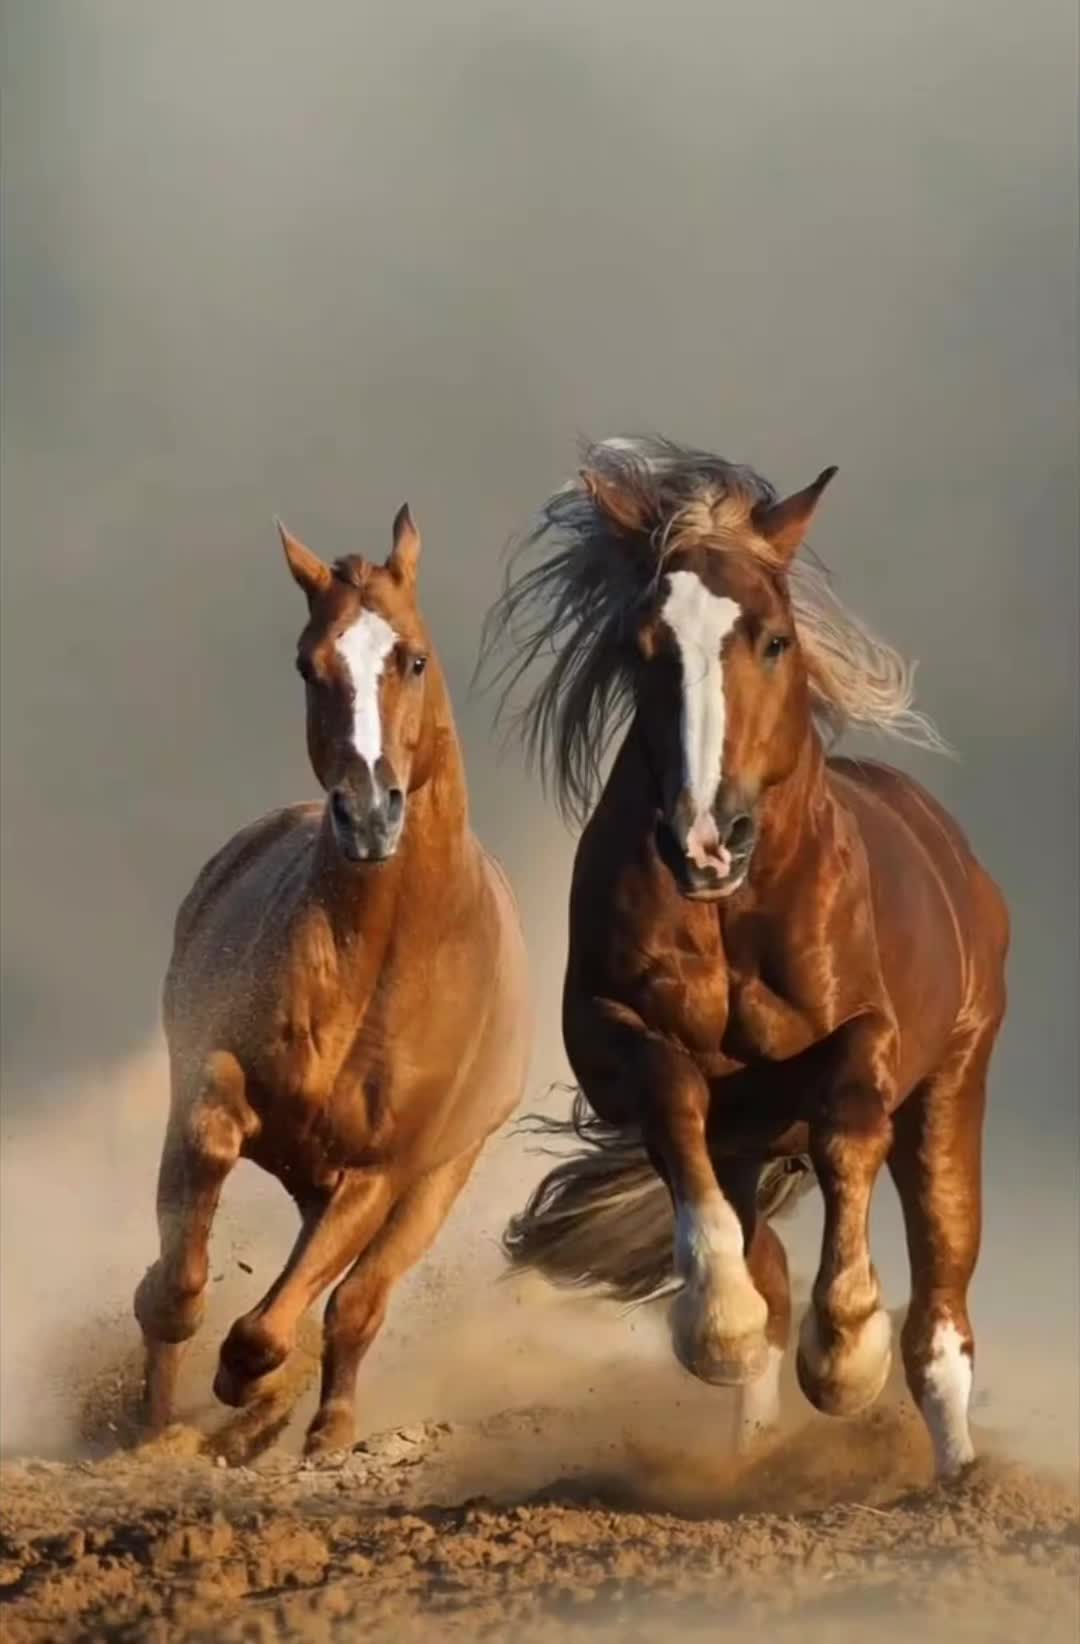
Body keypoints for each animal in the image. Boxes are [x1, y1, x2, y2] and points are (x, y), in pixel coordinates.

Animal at [134, 504, 530, 1456]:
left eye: (412, 657)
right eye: (309, 665)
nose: (370, 813)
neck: (377, 961)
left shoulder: (380, 1171)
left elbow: (288, 1322)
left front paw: (250, 1387)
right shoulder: (213, 1081)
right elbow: (192, 1220)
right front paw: (182, 1360)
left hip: (436, 1180)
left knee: (356, 1303)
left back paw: (323, 1429)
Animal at [479, 436, 1008, 1479]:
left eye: (773, 639)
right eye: (644, 648)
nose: (705, 840)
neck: (734, 914)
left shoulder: (870, 1036)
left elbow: (849, 1124)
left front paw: (843, 1354)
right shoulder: (616, 1040)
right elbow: (674, 1105)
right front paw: (716, 1326)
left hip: (952, 1089)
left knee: (941, 1308)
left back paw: (956, 1475)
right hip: (754, 1140)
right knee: (765, 1260)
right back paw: (753, 1449)